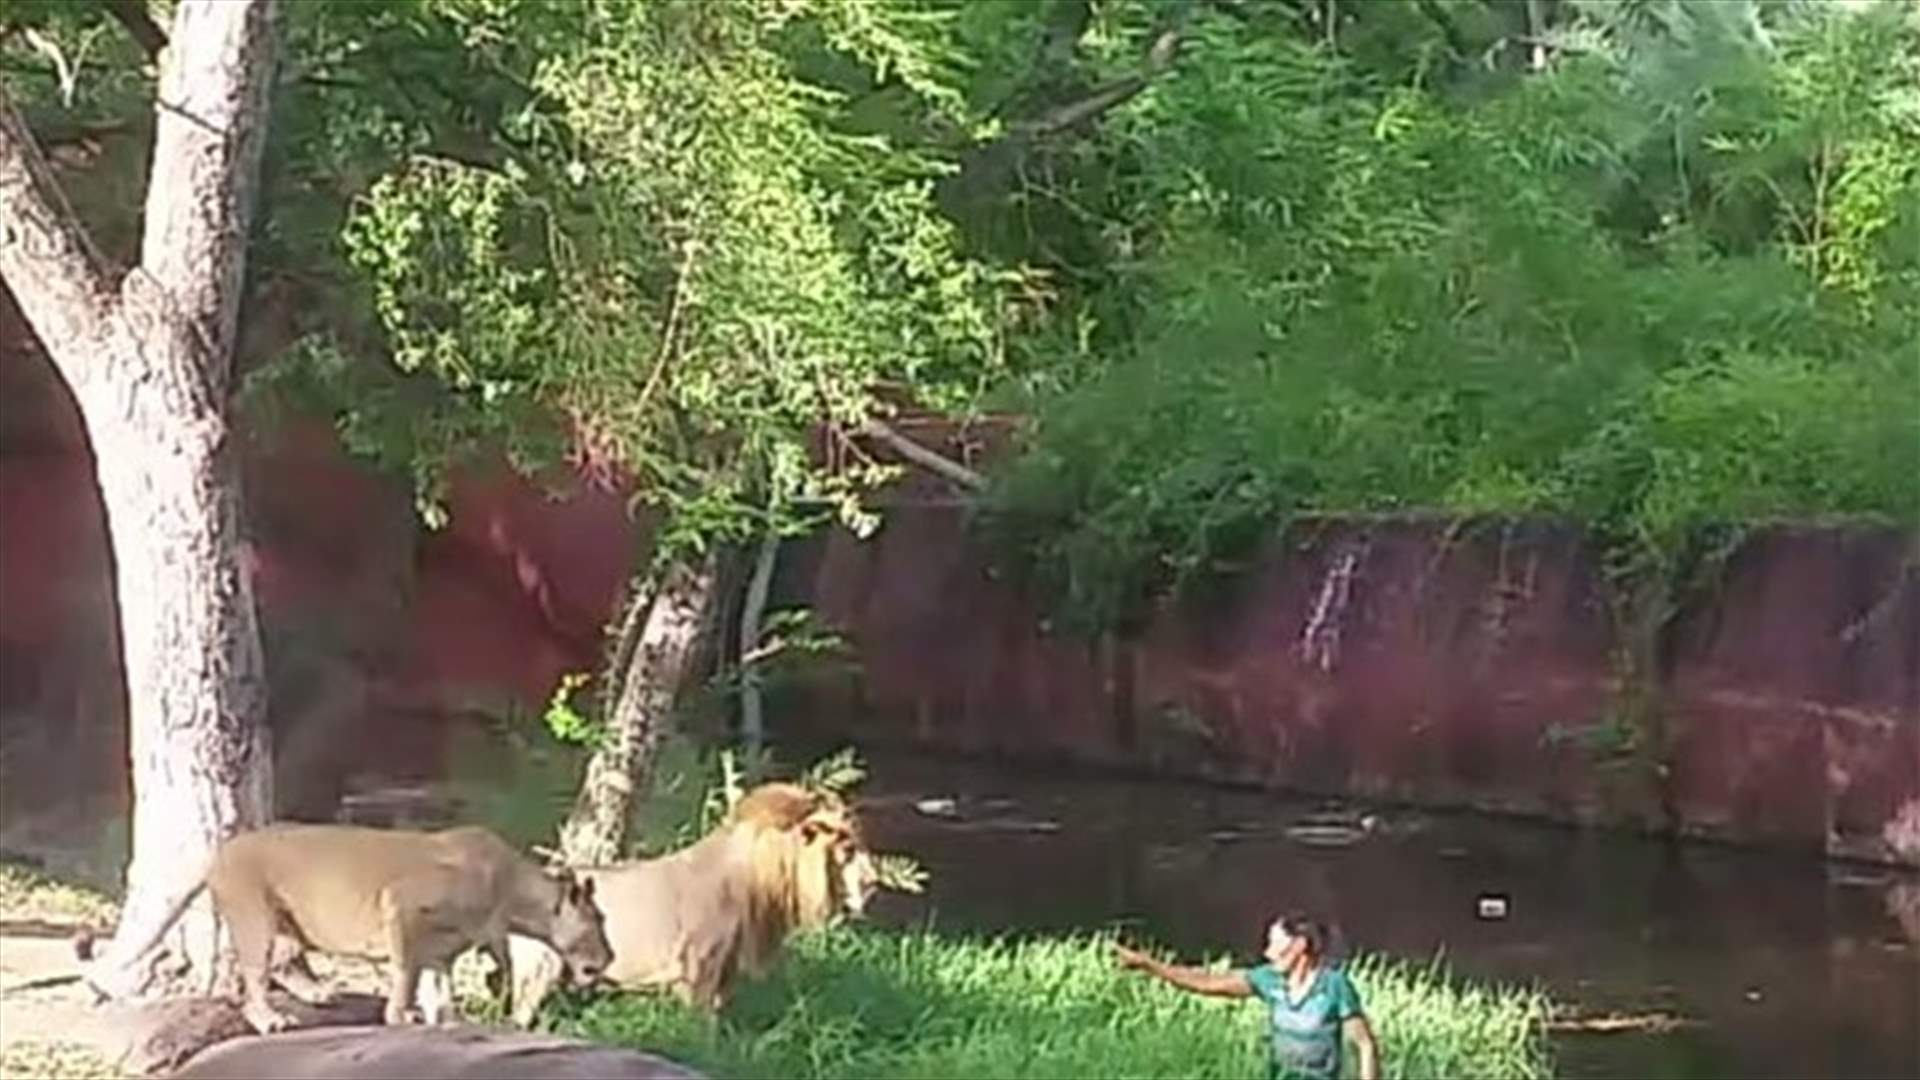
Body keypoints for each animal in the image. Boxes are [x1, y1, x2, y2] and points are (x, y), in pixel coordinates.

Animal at [90, 823, 615, 1034]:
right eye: (599, 921)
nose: (609, 959)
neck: (513, 893)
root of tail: (220, 849)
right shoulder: (400, 904)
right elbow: (406, 974)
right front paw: (400, 1016)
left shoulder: (444, 950)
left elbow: (438, 986)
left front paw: (447, 1019)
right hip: (254, 916)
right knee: (253, 978)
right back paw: (271, 1019)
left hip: (288, 924)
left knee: (285, 961)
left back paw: (318, 993)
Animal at [508, 782, 879, 1023]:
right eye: (847, 848)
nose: (874, 882)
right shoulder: (699, 964)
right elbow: (700, 1028)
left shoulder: (726, 967)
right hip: (538, 970)